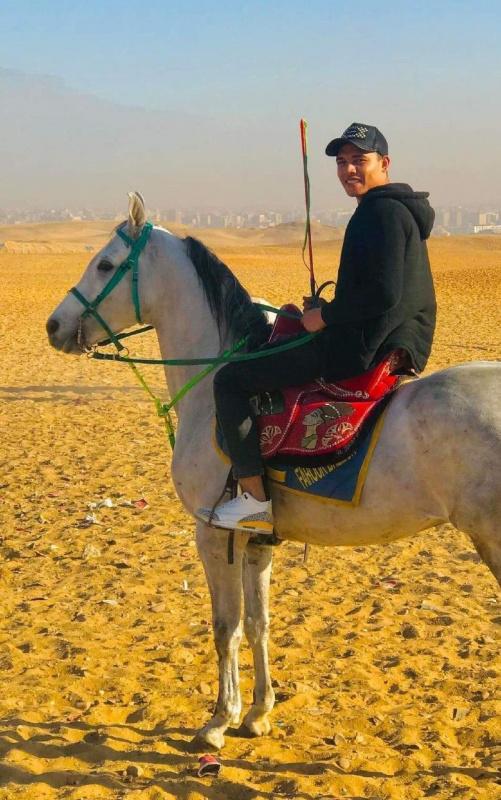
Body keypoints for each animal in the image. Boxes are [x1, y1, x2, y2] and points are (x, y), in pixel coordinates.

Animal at [47, 192, 501, 750]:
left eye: (106, 264)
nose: (54, 326)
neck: (210, 377)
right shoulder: (257, 540)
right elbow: (260, 622)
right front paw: (259, 712)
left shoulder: (212, 531)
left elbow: (226, 627)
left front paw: (218, 720)